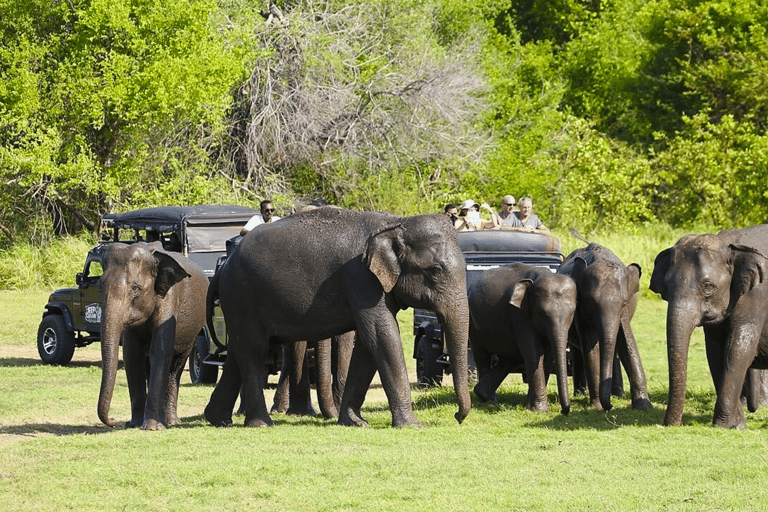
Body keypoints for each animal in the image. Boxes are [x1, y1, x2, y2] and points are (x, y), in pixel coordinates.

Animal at [97, 242, 208, 430]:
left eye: (135, 288)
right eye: (99, 286)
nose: (112, 421)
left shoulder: (169, 298)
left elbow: (161, 351)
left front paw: (152, 427)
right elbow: (132, 355)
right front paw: (133, 424)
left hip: (193, 332)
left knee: (176, 367)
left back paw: (171, 421)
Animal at [204, 208, 468, 428]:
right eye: (435, 271)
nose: (457, 417)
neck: (396, 223)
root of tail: (223, 267)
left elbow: (368, 345)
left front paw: (355, 423)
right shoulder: (361, 279)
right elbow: (382, 336)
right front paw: (412, 426)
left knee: (238, 353)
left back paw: (218, 420)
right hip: (242, 295)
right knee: (253, 351)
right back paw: (261, 424)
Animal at [468, 262, 576, 414]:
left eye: (572, 314)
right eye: (541, 313)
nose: (564, 411)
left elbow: (548, 355)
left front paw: (530, 407)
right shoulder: (519, 313)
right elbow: (534, 351)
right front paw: (540, 410)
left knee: (510, 357)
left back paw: (484, 394)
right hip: (473, 321)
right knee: (482, 356)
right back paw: (488, 400)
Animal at [556, 243, 652, 412]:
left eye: (624, 303)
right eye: (591, 303)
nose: (610, 406)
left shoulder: (623, 314)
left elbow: (626, 343)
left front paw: (644, 406)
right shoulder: (580, 309)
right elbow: (590, 347)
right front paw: (597, 406)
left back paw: (617, 394)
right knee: (577, 351)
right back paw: (581, 394)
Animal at [652, 227, 768, 428]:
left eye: (708, 287)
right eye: (667, 286)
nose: (671, 425)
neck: (729, 246)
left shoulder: (757, 296)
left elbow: (737, 350)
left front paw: (726, 426)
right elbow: (715, 352)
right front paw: (737, 425)